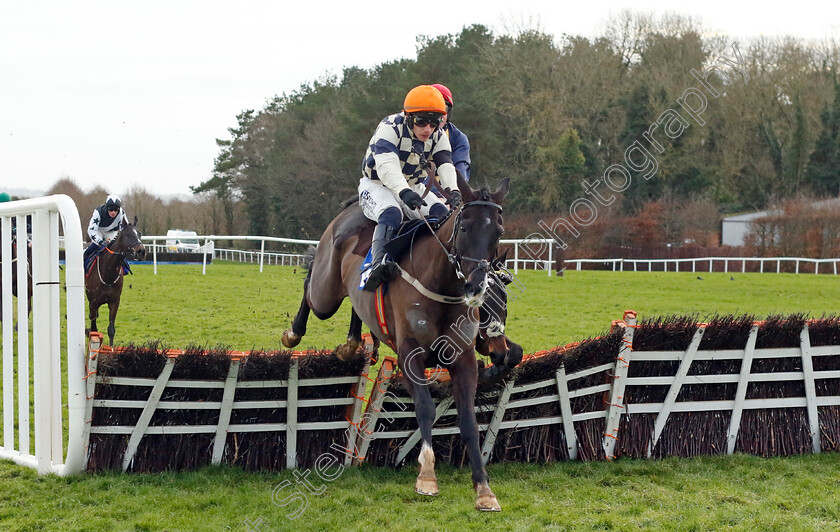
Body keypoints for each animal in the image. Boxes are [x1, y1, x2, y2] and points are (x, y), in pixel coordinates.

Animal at [84, 217, 145, 348]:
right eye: (127, 234)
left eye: (139, 234)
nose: (141, 251)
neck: (108, 272)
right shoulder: (93, 303)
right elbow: (94, 329)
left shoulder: (114, 302)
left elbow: (111, 330)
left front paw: (111, 348)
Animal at [282, 177, 508, 510]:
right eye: (465, 227)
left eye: (498, 232)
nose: (475, 284)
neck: (440, 284)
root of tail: (351, 209)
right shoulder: (410, 355)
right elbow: (425, 409)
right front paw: (427, 476)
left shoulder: (463, 358)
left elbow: (468, 420)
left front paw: (483, 488)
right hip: (325, 293)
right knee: (311, 284)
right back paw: (294, 331)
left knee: (356, 303)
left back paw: (351, 343)